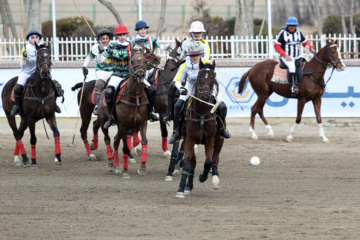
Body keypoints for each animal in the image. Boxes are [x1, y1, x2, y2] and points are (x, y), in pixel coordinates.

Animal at [97, 44, 148, 176]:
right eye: (132, 61)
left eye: (145, 61)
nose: (140, 76)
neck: (135, 96)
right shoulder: (124, 125)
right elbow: (125, 147)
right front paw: (125, 171)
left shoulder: (142, 123)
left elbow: (144, 141)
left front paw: (142, 167)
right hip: (103, 121)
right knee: (108, 140)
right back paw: (111, 163)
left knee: (115, 140)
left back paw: (116, 165)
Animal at [175, 60, 224, 199]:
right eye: (199, 77)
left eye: (213, 78)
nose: (205, 97)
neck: (202, 113)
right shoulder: (189, 139)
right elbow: (187, 162)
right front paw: (181, 189)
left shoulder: (210, 139)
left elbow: (208, 161)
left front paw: (202, 177)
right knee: (193, 162)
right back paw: (188, 187)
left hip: (220, 140)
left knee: (215, 158)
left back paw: (215, 179)